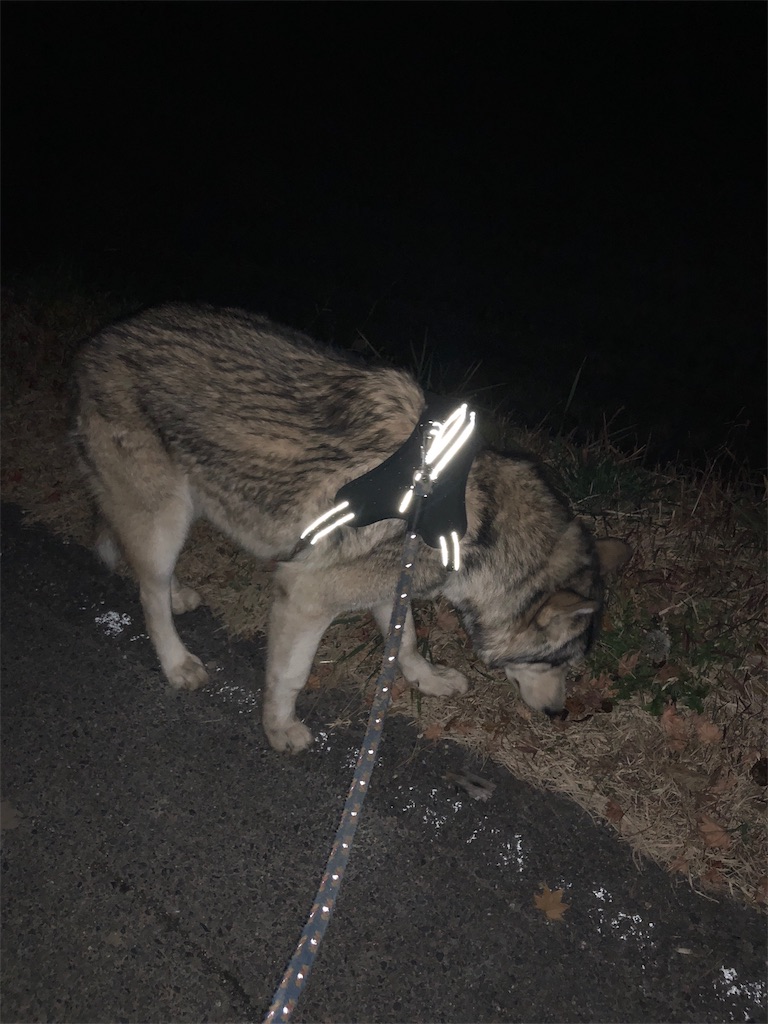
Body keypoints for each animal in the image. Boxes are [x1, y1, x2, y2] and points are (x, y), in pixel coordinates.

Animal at [72, 303, 630, 753]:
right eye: (557, 663)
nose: (560, 714)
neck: (475, 517)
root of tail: (101, 340)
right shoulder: (304, 593)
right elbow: (290, 675)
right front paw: (278, 728)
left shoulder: (389, 584)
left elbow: (406, 643)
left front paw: (425, 680)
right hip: (164, 519)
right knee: (149, 593)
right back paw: (175, 660)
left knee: (152, 575)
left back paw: (179, 593)